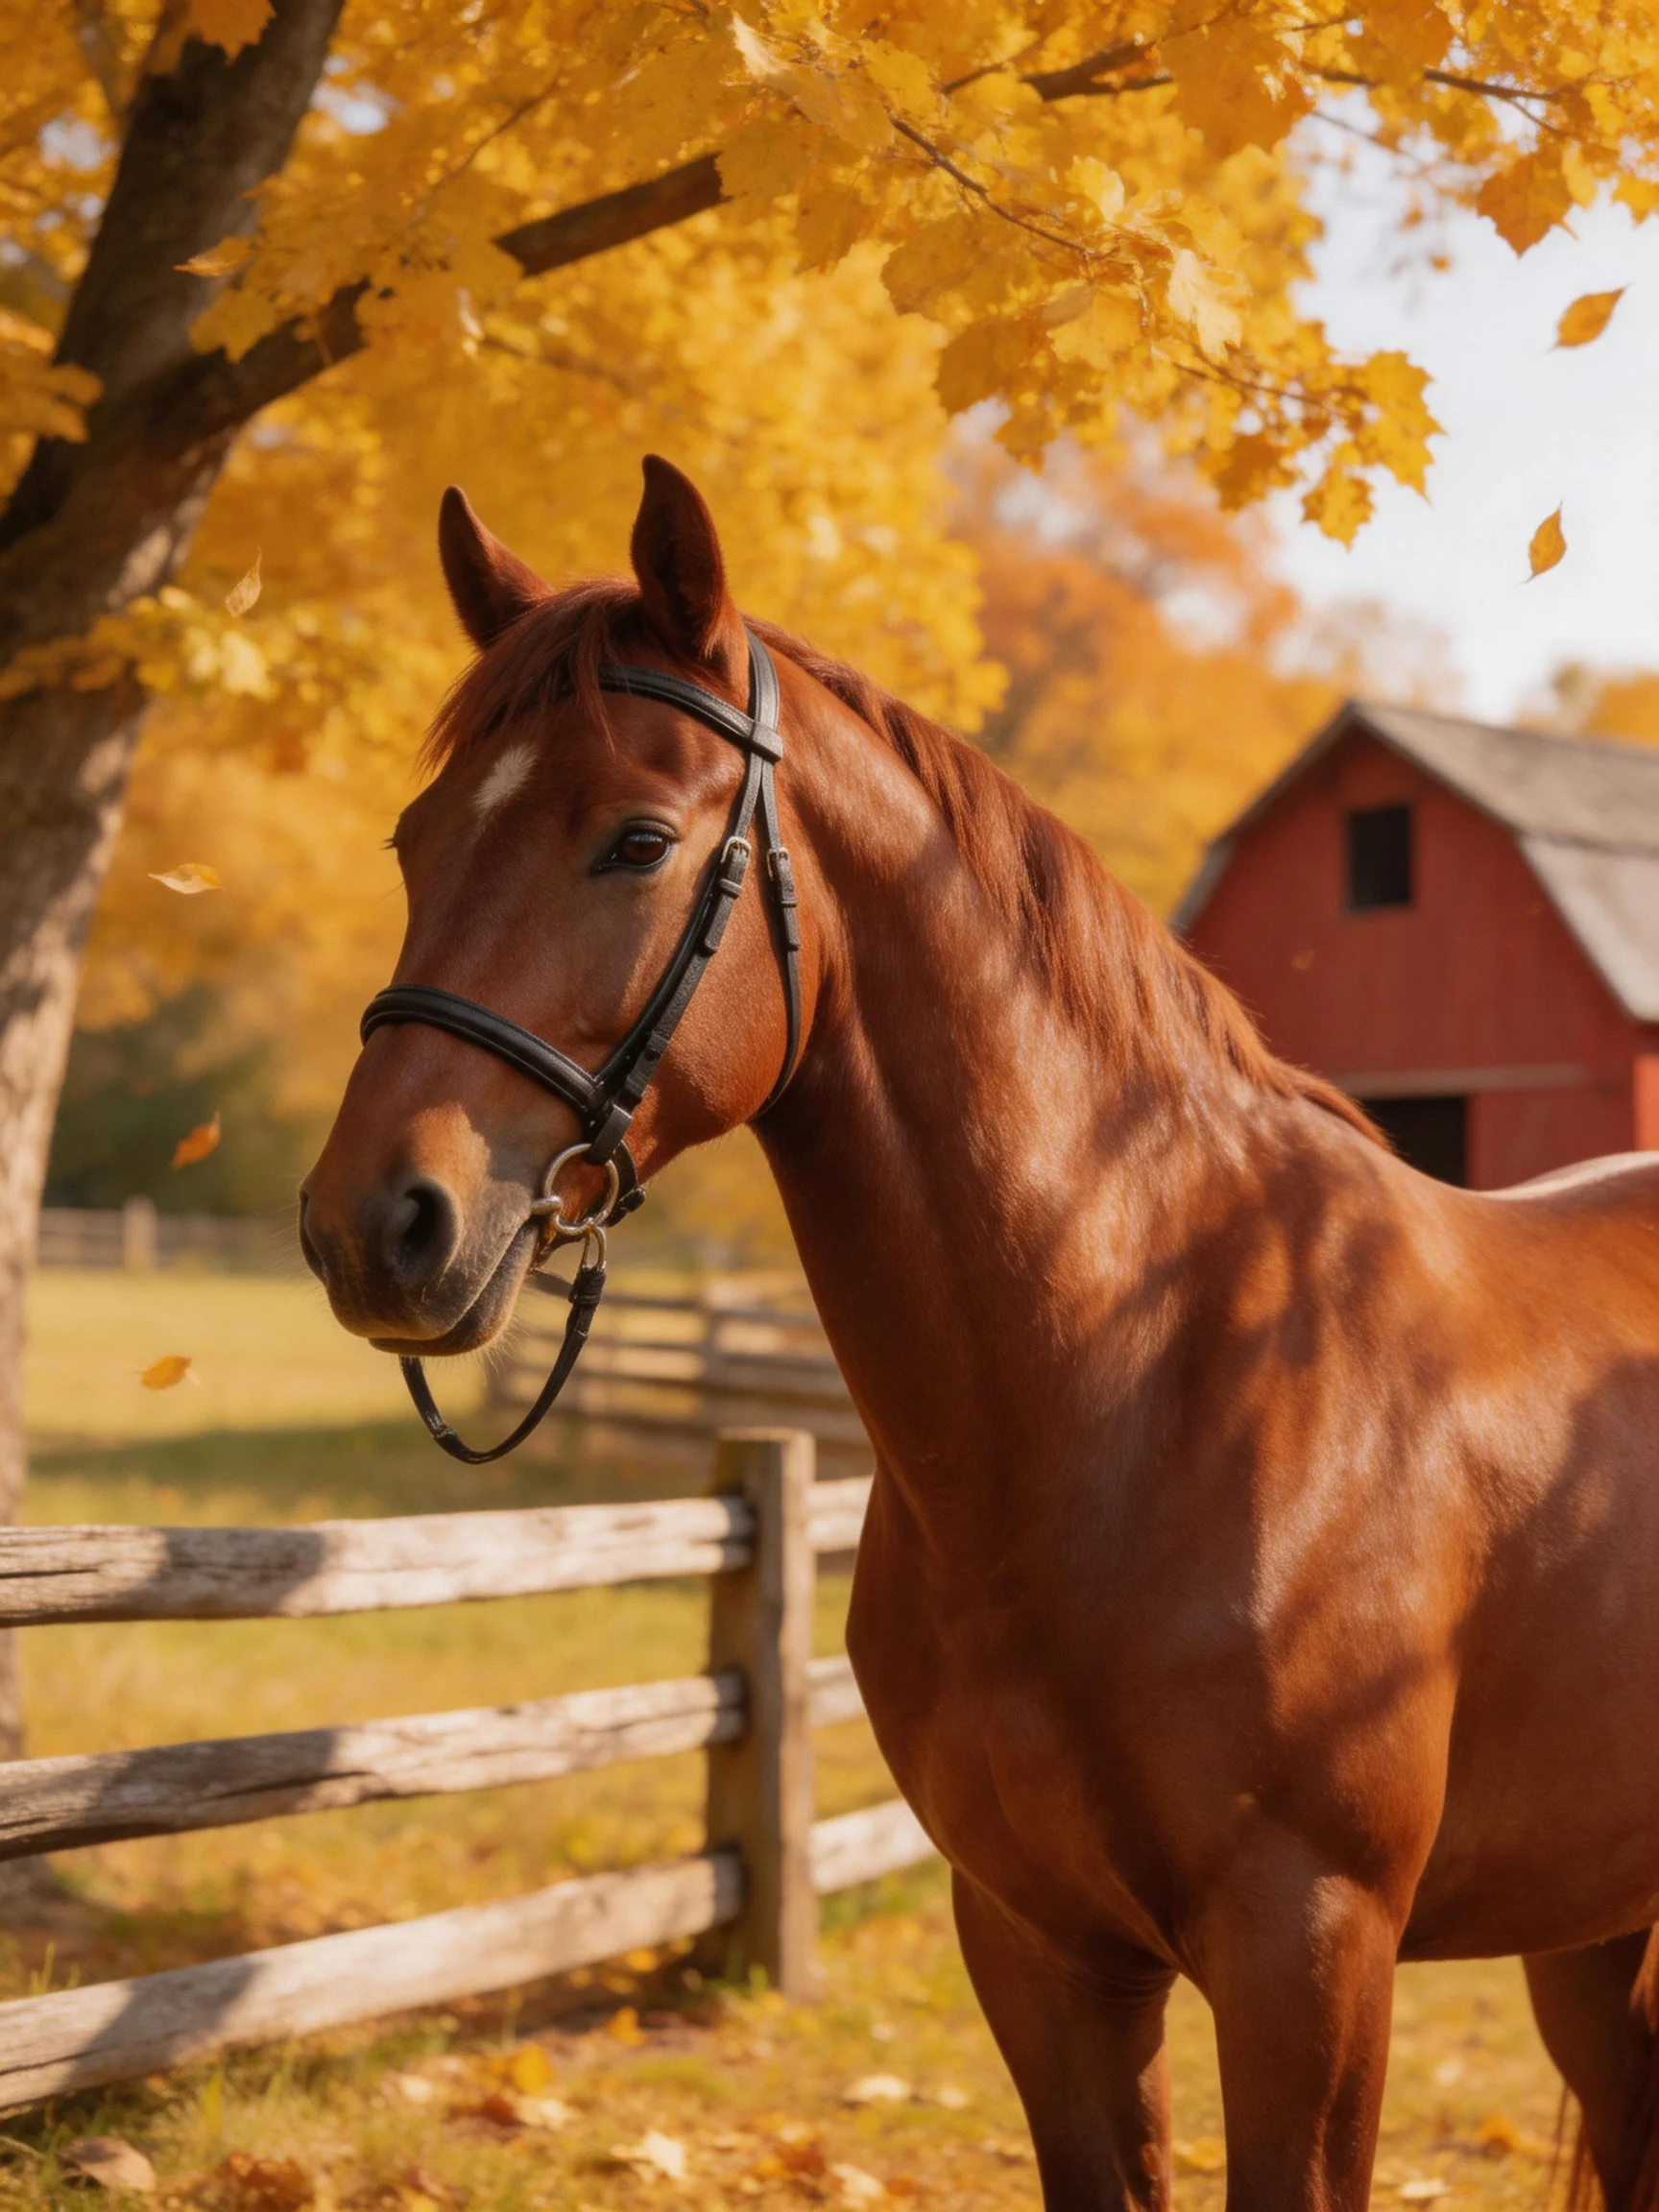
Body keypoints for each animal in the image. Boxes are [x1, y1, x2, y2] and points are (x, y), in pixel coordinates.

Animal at [300, 455, 1659, 2212]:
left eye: (637, 839)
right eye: (416, 839)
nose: (373, 1223)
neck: (1145, 1388)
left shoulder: (1310, 1956)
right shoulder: (1037, 1949)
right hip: (1591, 1925)